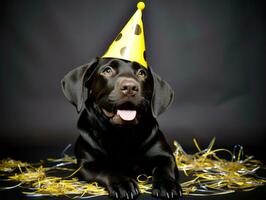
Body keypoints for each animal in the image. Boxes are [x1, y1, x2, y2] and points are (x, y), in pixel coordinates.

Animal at [61, 57, 183, 199]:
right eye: (107, 70)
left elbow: (163, 169)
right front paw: (123, 183)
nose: (130, 87)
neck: (122, 135)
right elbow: (108, 170)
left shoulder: (165, 156)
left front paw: (168, 184)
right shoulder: (86, 164)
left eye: (141, 73)